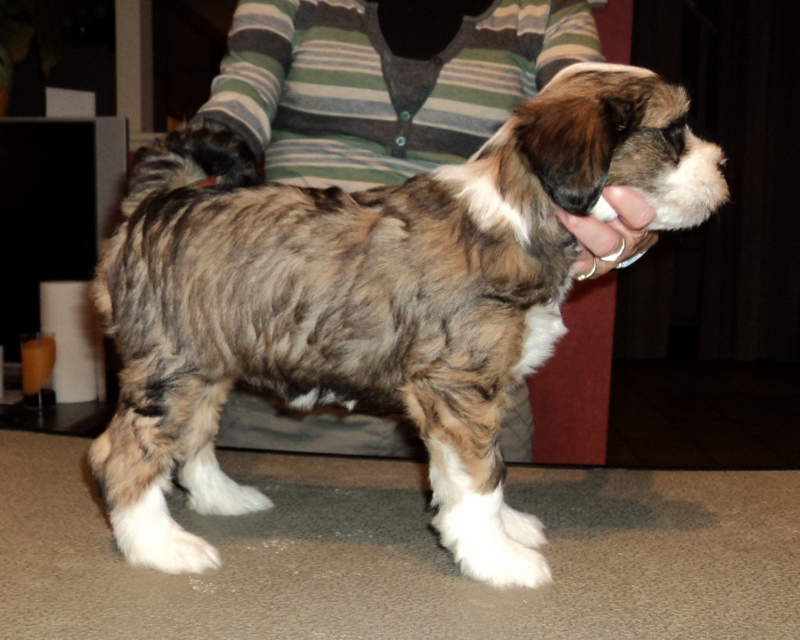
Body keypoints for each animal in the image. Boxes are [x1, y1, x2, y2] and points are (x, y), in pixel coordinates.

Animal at [88, 62, 728, 588]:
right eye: (675, 132)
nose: (723, 164)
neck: (522, 213)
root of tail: (159, 201)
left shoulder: (469, 395)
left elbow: (478, 473)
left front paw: (500, 528)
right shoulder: (457, 386)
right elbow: (480, 476)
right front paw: (497, 557)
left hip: (207, 364)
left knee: (192, 436)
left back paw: (222, 499)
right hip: (171, 366)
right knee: (125, 451)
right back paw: (158, 545)